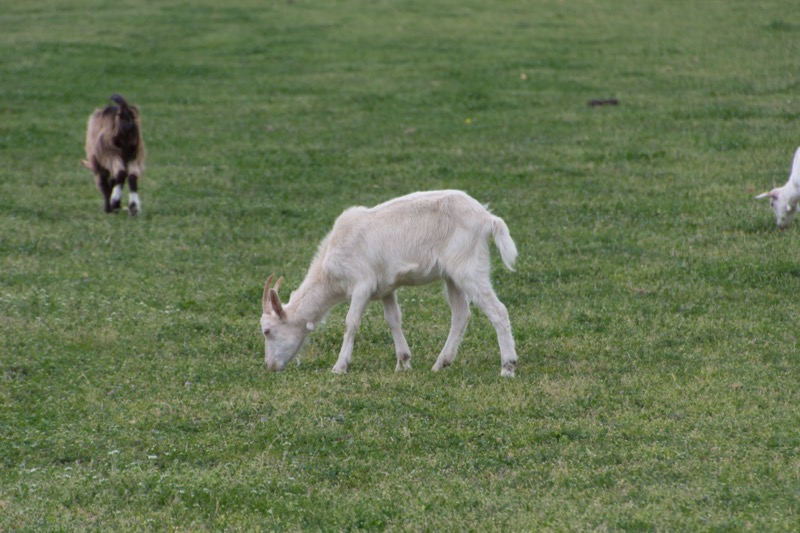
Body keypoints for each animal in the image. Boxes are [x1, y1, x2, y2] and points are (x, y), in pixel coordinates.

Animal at [261, 190, 519, 377]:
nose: (271, 366)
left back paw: (507, 367)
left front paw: (339, 367)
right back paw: (440, 364)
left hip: (468, 267)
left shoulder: (362, 284)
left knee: (498, 310)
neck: (329, 273)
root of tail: (488, 218)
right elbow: (393, 320)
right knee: (461, 314)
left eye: (267, 331)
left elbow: (351, 322)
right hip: (452, 275)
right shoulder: (385, 288)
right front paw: (403, 362)